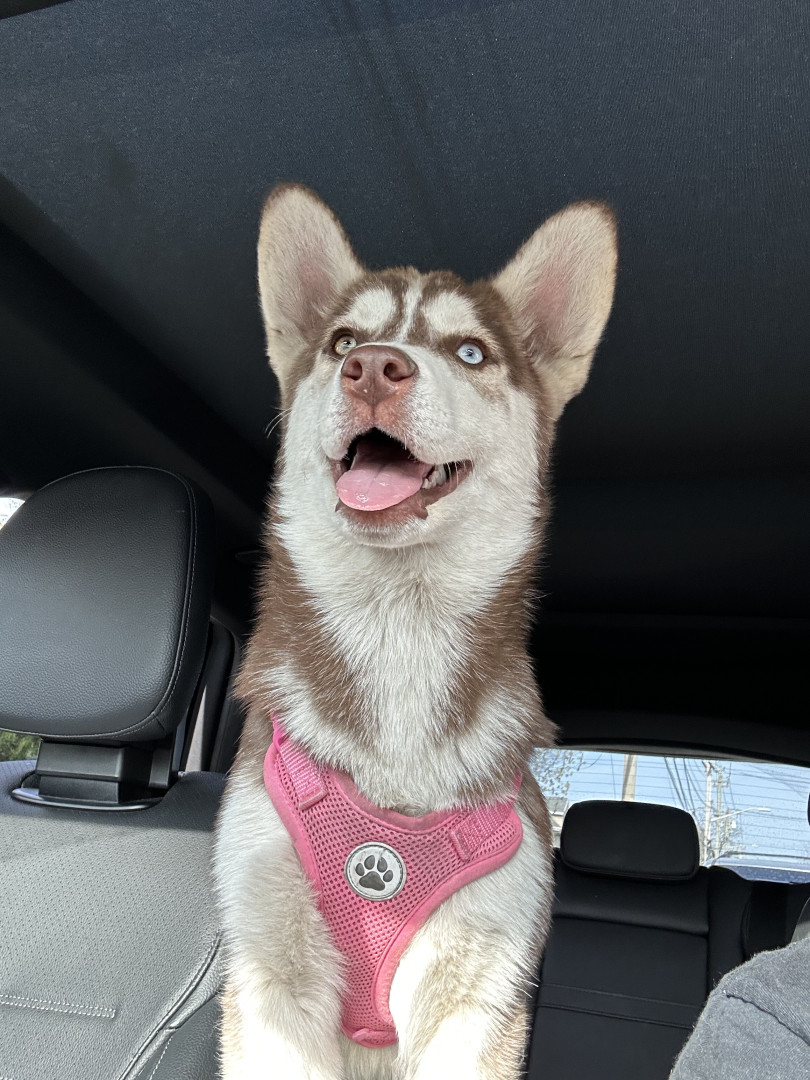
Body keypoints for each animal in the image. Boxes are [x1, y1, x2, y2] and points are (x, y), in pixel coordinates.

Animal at [213, 183, 617, 1080]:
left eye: (470, 352)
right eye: (342, 341)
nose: (373, 367)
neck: (398, 629)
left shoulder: (480, 990)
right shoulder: (270, 979)